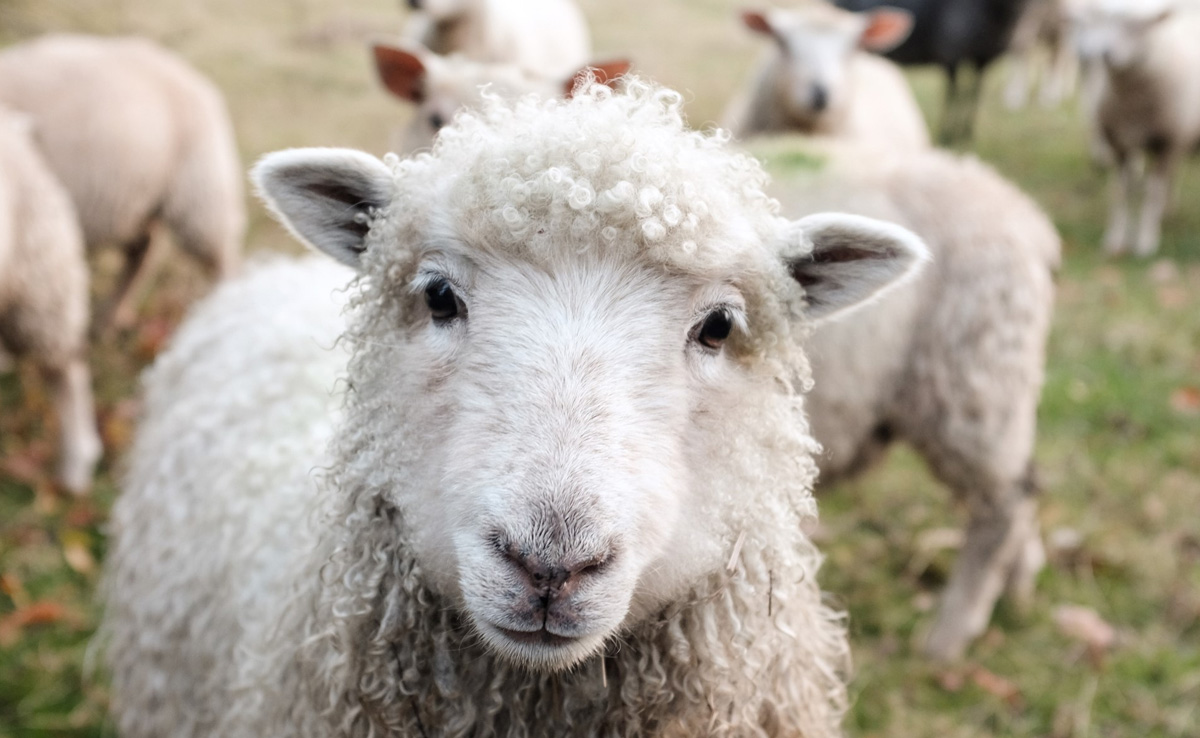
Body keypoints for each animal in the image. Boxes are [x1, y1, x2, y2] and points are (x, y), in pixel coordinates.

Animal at [0, 33, 245, 331]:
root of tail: (188, 73)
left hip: (200, 192)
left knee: (221, 257)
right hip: (133, 201)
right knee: (143, 251)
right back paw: (112, 316)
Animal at [834, 0, 1033, 143]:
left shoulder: (983, 60)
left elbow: (974, 94)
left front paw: (966, 132)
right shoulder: (951, 55)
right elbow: (953, 95)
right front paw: (948, 133)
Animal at [1072, 1, 1200, 256]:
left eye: (1139, 26)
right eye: (1104, 20)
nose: (1104, 54)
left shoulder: (1166, 143)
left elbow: (1152, 193)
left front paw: (1146, 241)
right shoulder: (1118, 144)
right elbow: (1121, 192)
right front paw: (1116, 239)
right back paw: (1168, 210)